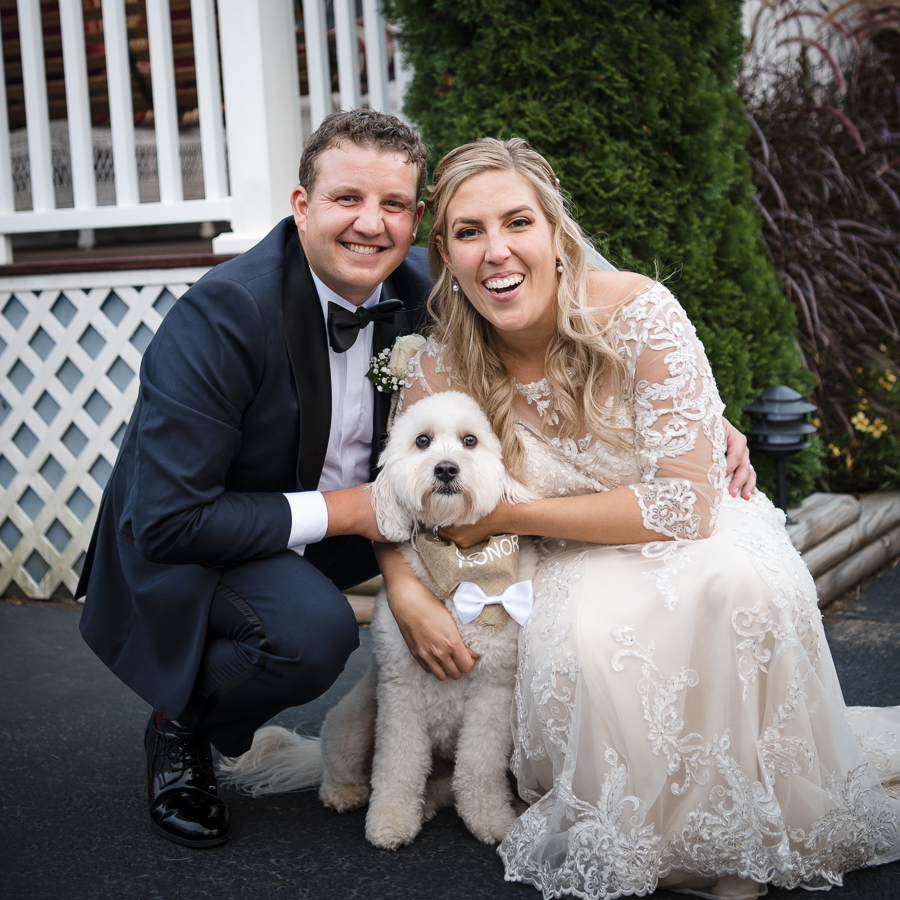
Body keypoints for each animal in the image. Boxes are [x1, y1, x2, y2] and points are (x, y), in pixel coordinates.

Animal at [221, 390, 536, 848]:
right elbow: (397, 765)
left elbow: (478, 767)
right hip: (352, 723)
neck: (457, 567)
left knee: (442, 784)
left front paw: (492, 819)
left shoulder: (492, 693)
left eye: (470, 441)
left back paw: (429, 804)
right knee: (345, 769)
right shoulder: (401, 689)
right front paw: (390, 820)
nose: (445, 468)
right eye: (422, 441)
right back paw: (346, 794)